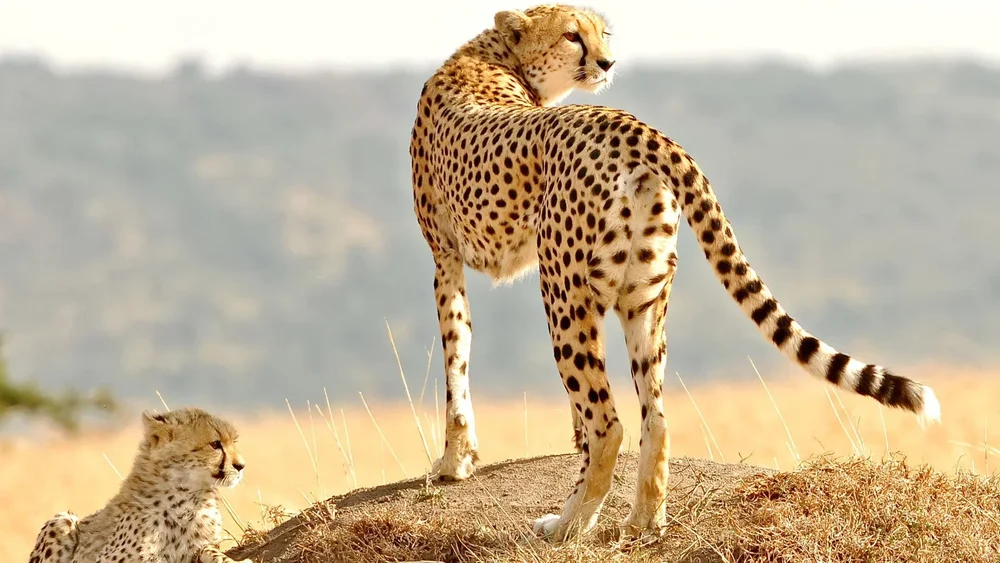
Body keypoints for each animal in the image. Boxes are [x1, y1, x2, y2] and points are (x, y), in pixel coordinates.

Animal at [27, 407, 252, 563]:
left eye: (235, 442)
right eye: (215, 444)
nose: (241, 466)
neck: (189, 496)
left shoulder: (199, 547)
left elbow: (211, 551)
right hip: (62, 520)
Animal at [409, 2, 942, 542]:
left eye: (603, 33)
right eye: (572, 35)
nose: (607, 62)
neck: (496, 57)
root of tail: (627, 123)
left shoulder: (444, 257)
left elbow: (456, 356)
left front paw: (453, 461)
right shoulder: (454, 256)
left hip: (564, 293)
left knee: (609, 423)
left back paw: (568, 523)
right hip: (643, 296)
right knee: (656, 418)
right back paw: (645, 520)